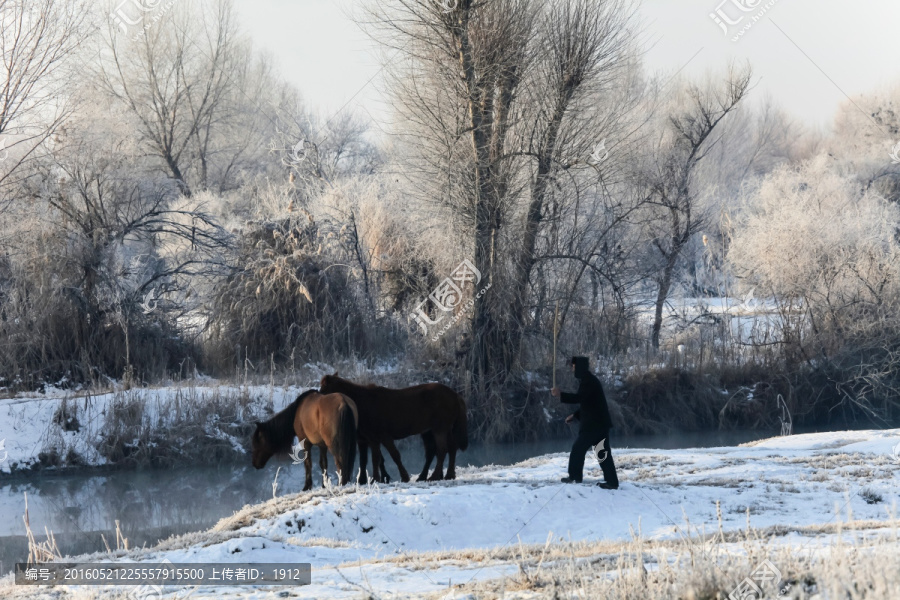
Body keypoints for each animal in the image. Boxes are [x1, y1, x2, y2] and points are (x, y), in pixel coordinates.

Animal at [320, 376, 468, 482]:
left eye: (324, 388)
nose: (318, 400)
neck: (362, 402)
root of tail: (455, 395)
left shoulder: (382, 436)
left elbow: (393, 456)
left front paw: (402, 476)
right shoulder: (369, 439)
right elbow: (373, 459)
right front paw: (373, 479)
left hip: (440, 429)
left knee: (442, 450)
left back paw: (435, 476)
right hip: (431, 431)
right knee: (446, 449)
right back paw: (443, 475)